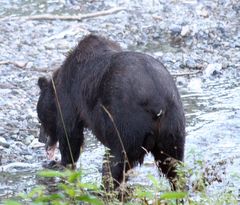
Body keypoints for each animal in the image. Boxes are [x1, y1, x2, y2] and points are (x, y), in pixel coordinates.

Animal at [36, 34, 186, 191]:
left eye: (40, 120)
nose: (41, 139)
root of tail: (157, 104)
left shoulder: (70, 96)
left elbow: (70, 134)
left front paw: (59, 163)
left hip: (126, 123)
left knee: (114, 161)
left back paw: (104, 188)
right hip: (173, 127)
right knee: (173, 164)